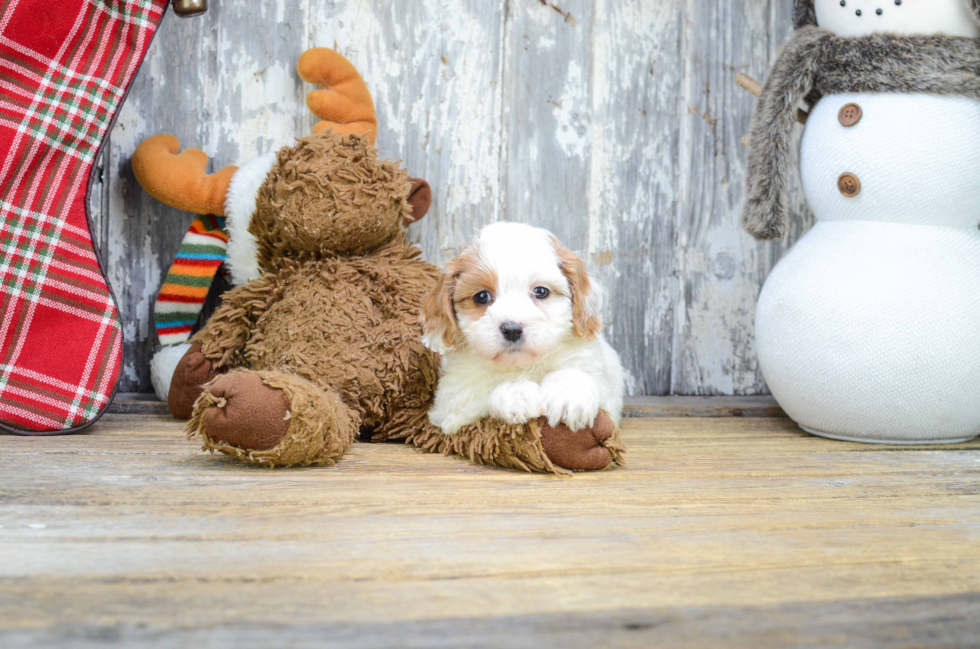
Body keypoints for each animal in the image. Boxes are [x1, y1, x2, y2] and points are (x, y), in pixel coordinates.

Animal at [420, 221, 620, 436]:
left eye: (541, 291)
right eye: (481, 296)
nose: (512, 329)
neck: (523, 365)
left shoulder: (600, 381)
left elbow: (576, 374)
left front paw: (568, 394)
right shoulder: (450, 400)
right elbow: (481, 389)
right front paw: (515, 393)